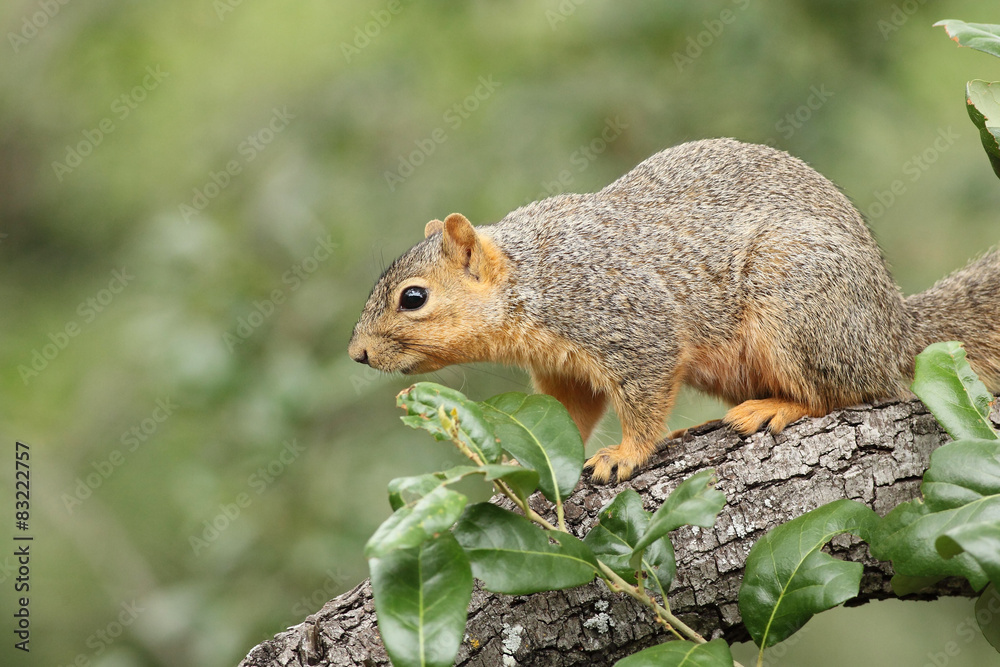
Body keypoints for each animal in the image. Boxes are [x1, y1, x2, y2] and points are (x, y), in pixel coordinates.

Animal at [346, 138, 1000, 482]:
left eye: (413, 297)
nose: (358, 353)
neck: (532, 278)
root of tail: (892, 327)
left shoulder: (628, 320)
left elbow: (644, 392)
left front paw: (624, 455)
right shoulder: (563, 366)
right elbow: (570, 412)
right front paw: (526, 466)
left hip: (798, 303)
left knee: (849, 390)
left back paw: (776, 408)